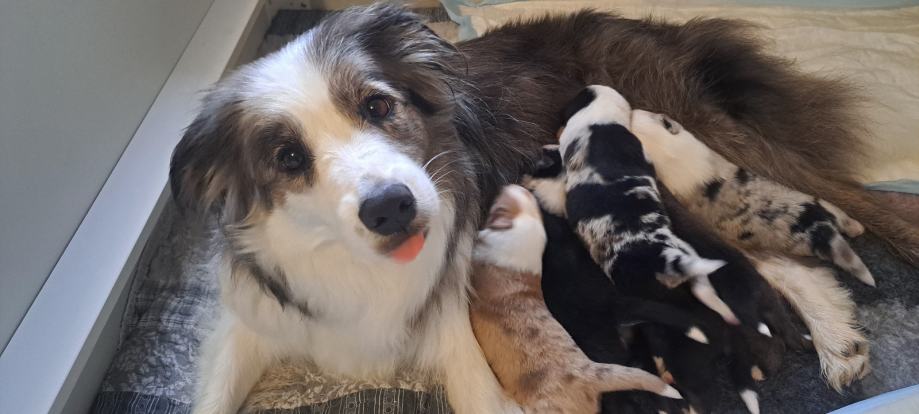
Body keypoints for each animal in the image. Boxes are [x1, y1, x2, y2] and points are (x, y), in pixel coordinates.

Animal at [629, 109, 875, 286]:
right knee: (841, 215)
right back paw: (857, 227)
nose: (633, 109)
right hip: (821, 204)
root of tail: (816, 225)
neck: (667, 150)